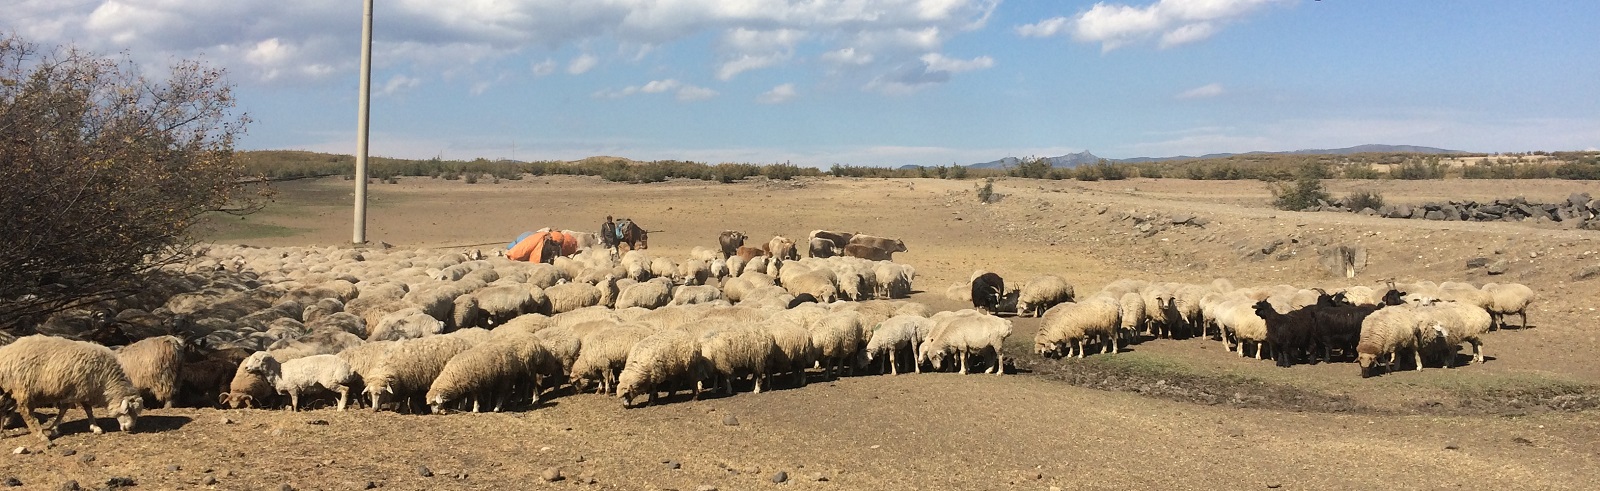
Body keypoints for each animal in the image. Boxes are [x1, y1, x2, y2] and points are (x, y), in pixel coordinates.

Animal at [0, 335, 144, 443]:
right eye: (129, 411)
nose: (130, 428)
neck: (106, 379)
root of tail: (5, 352)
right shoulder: (76, 390)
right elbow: (66, 409)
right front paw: (54, 428)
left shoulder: (83, 390)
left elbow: (88, 410)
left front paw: (95, 427)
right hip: (22, 388)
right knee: (26, 412)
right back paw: (41, 436)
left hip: (9, 390)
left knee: (3, 408)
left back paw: (2, 432)